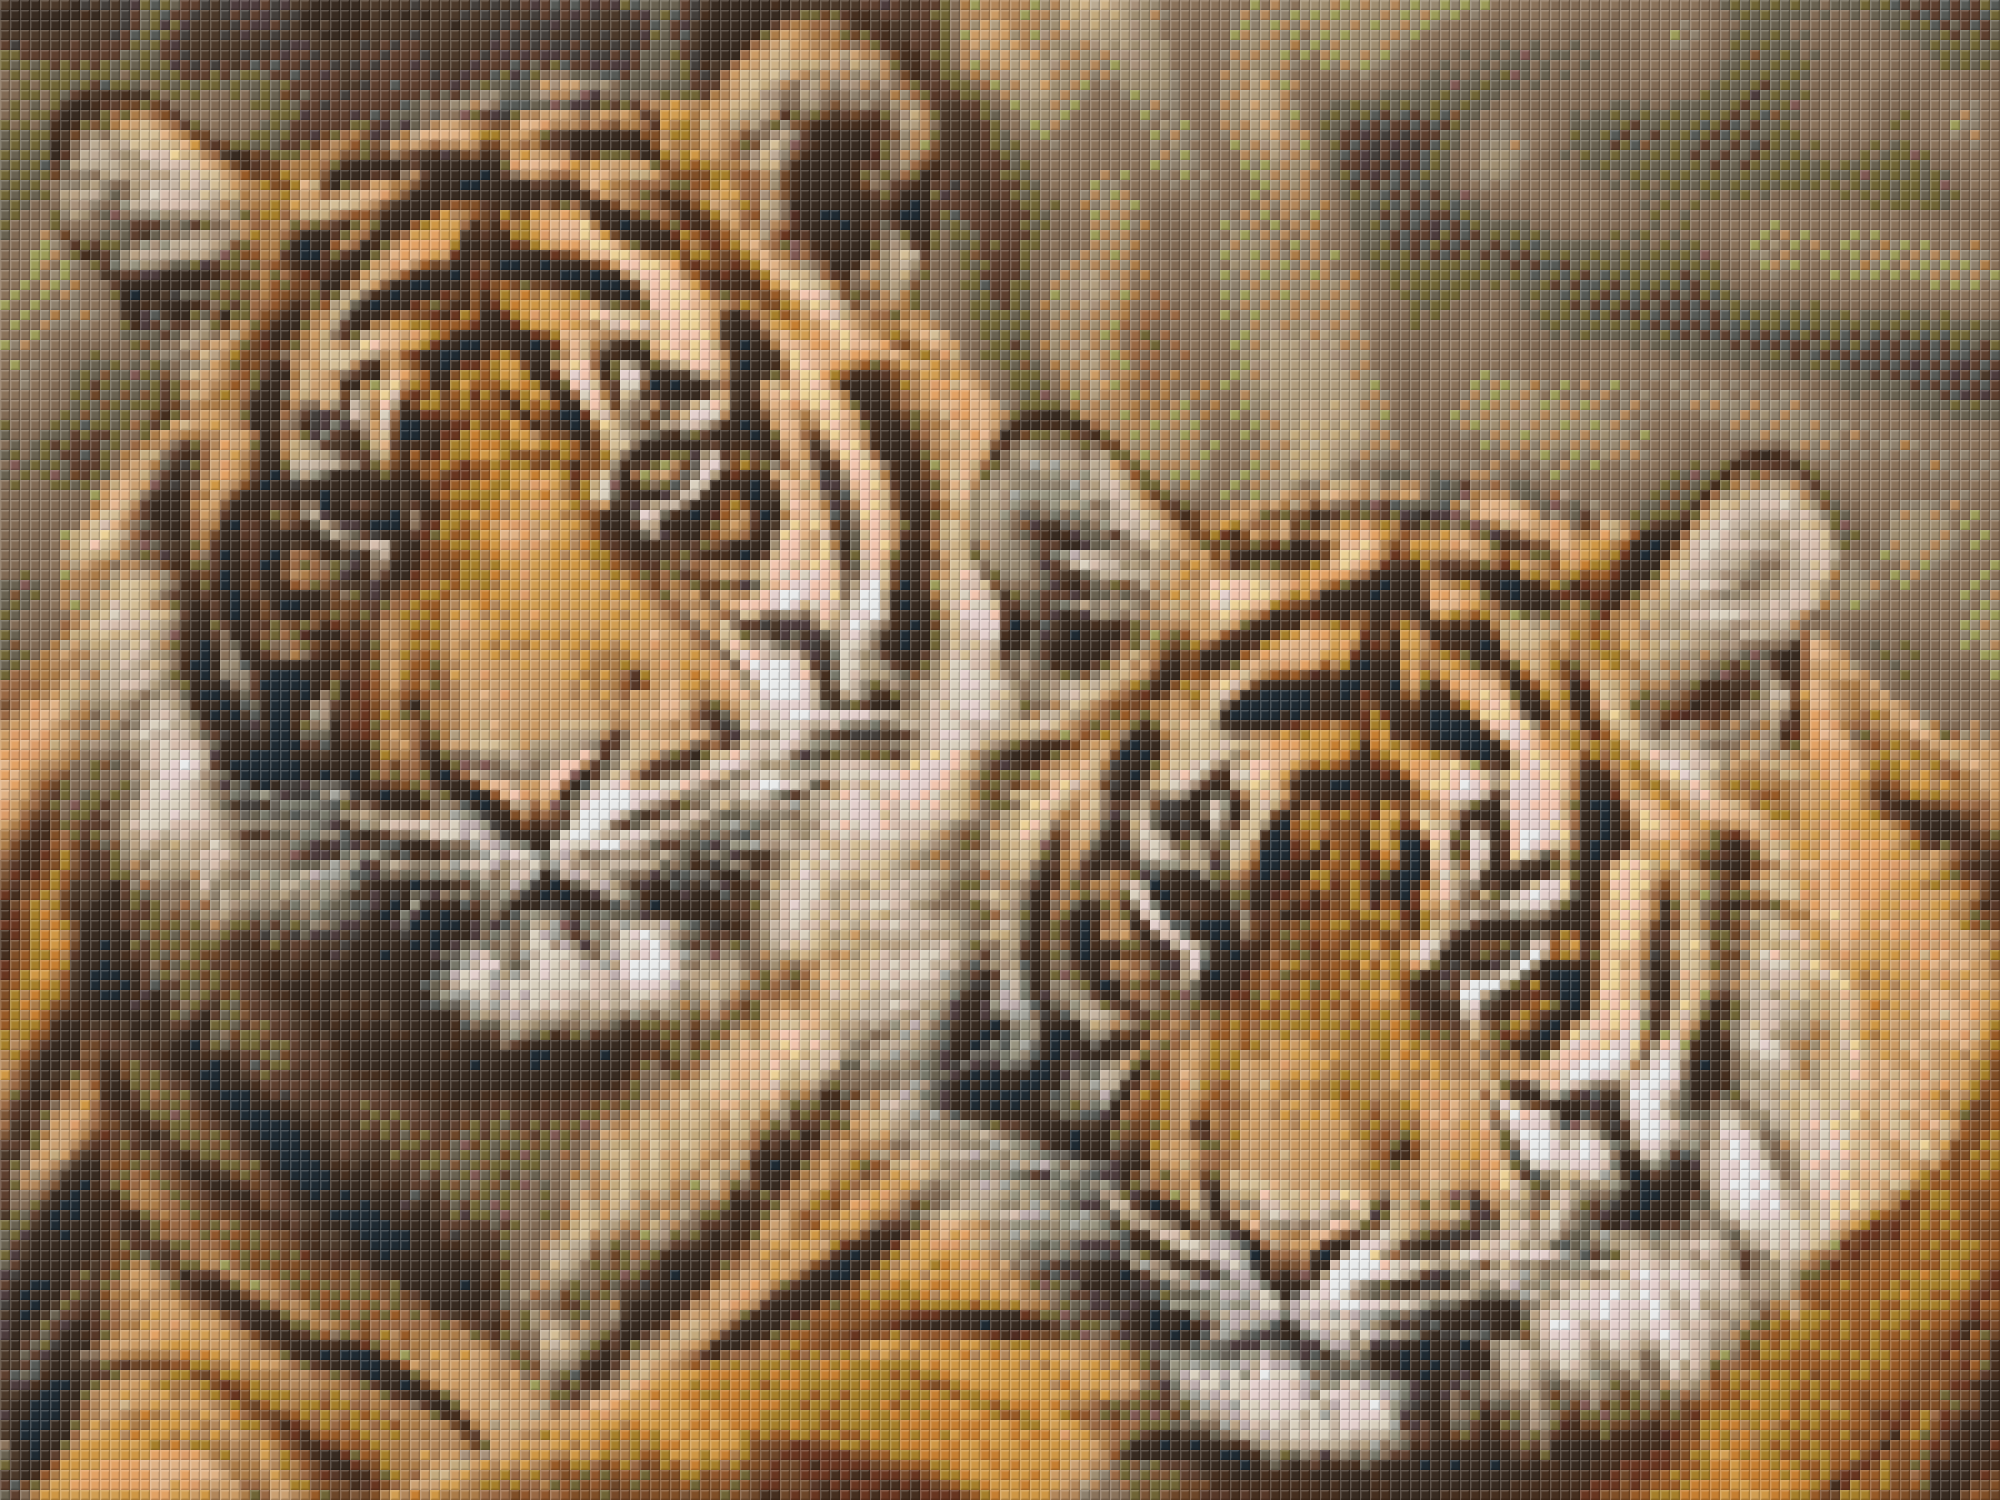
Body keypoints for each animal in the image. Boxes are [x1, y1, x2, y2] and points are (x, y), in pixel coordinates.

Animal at [0, 20, 1197, 1498]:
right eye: (358, 508)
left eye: (665, 471)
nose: (525, 786)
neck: (554, 1110)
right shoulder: (217, 1371)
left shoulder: (971, 1343)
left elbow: (610, 1450)